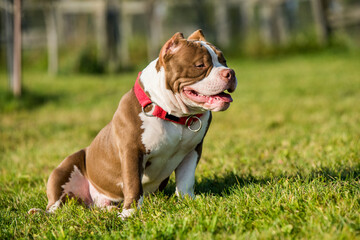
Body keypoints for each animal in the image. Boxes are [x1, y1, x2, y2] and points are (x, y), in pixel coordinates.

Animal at [28, 30, 236, 219]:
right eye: (200, 65)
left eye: (224, 61)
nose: (230, 73)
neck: (172, 115)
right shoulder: (132, 152)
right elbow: (133, 184)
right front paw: (130, 213)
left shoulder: (192, 151)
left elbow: (186, 181)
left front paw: (188, 202)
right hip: (64, 170)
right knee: (57, 205)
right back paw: (40, 212)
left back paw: (110, 209)